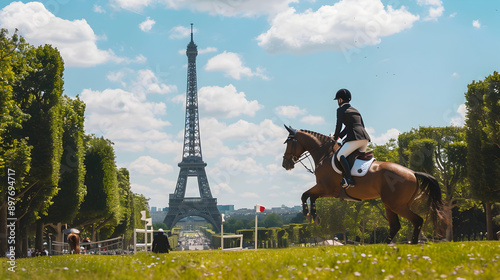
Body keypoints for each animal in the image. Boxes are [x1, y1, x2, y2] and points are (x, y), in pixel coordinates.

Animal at [282, 126, 450, 244]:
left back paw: (410, 244)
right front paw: (314, 216)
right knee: (396, 225)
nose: (285, 164)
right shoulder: (325, 190)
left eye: (288, 142)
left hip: (396, 205)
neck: (325, 155)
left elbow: (305, 195)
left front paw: (309, 215)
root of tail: (413, 173)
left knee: (416, 221)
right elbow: (310, 196)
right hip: (391, 204)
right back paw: (385, 245)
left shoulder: (326, 188)